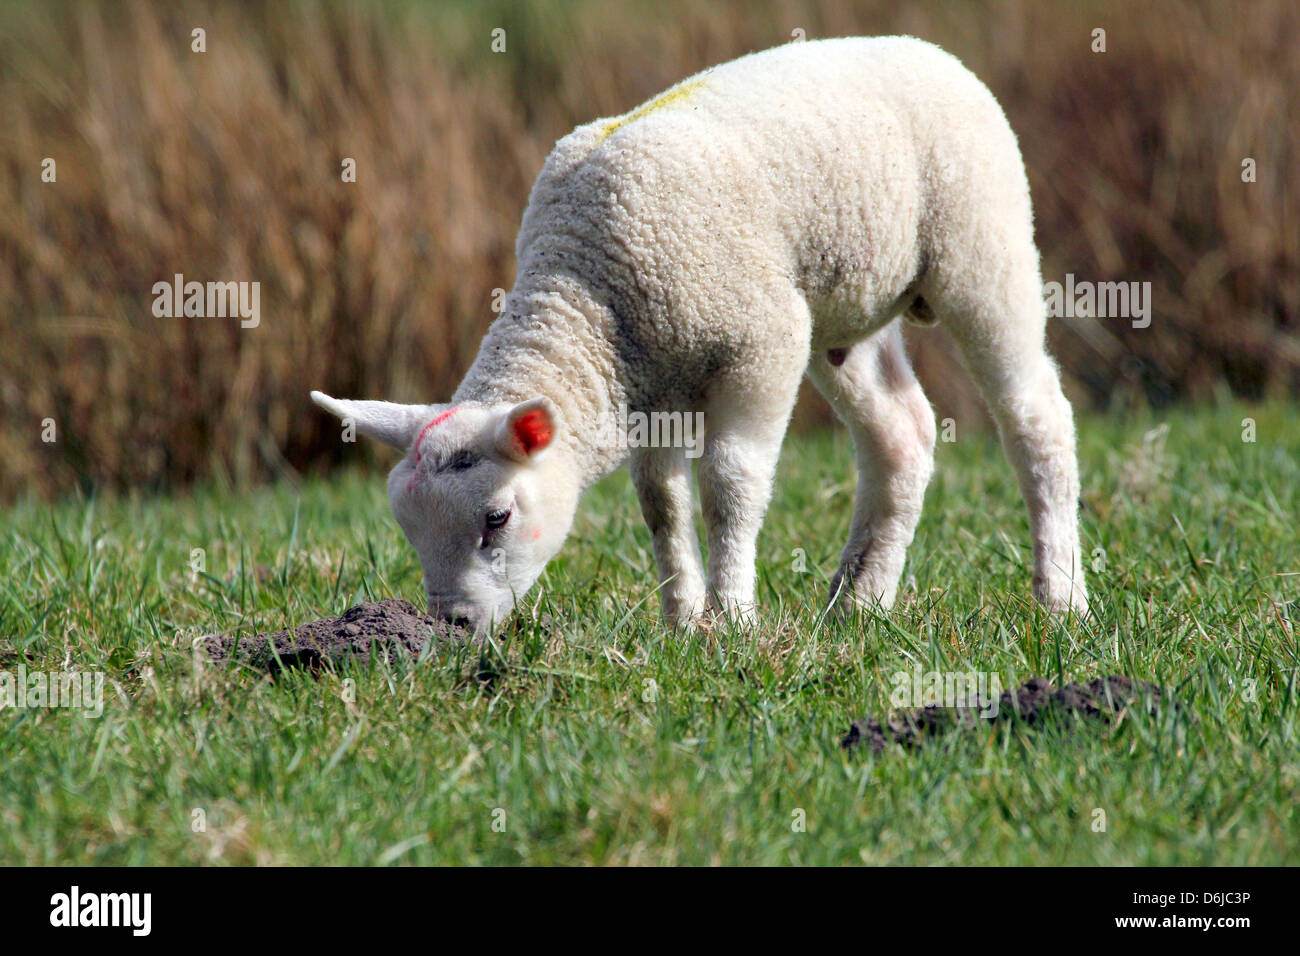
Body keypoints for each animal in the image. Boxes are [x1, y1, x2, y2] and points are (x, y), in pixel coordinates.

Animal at [312, 35, 1086, 634]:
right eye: (407, 527)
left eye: (497, 518)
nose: (454, 625)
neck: (586, 288)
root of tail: (923, 47)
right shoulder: (650, 389)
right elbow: (661, 503)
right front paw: (682, 623)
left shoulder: (760, 347)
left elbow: (730, 486)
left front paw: (732, 619)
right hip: (844, 309)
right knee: (901, 436)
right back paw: (857, 606)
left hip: (982, 242)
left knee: (1036, 417)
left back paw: (1061, 598)